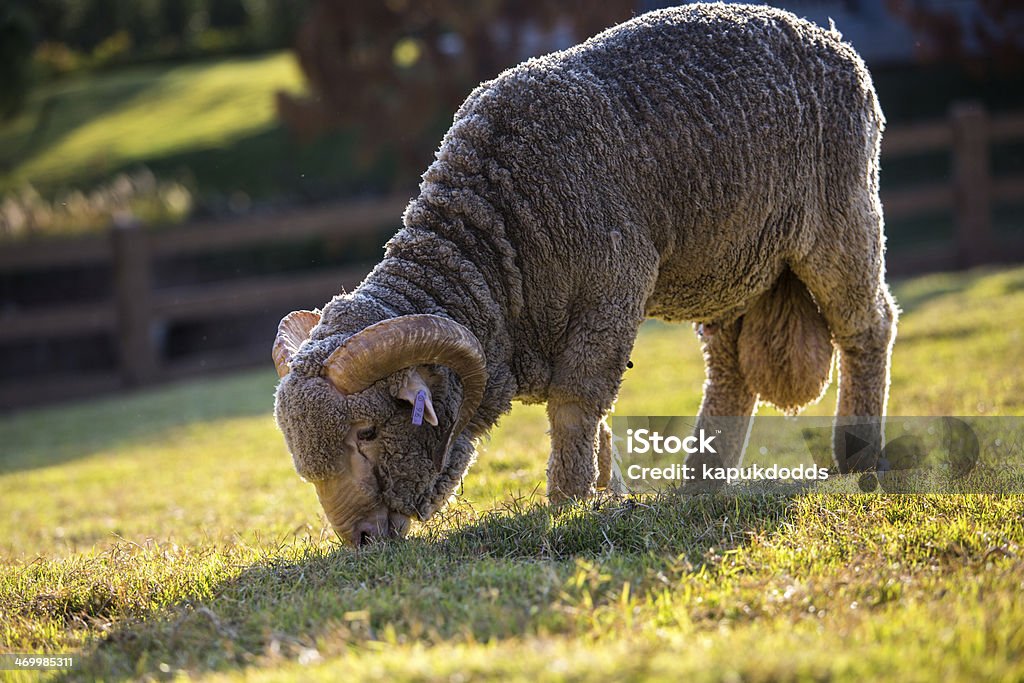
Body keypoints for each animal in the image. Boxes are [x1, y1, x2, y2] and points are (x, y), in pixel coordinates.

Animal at [270, 1, 897, 544]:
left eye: (369, 432)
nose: (362, 540)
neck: (499, 236)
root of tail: (828, 37)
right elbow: (598, 416)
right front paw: (607, 492)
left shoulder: (612, 288)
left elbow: (576, 403)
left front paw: (569, 502)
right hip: (734, 267)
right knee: (731, 373)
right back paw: (700, 481)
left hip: (840, 217)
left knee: (868, 325)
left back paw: (857, 452)